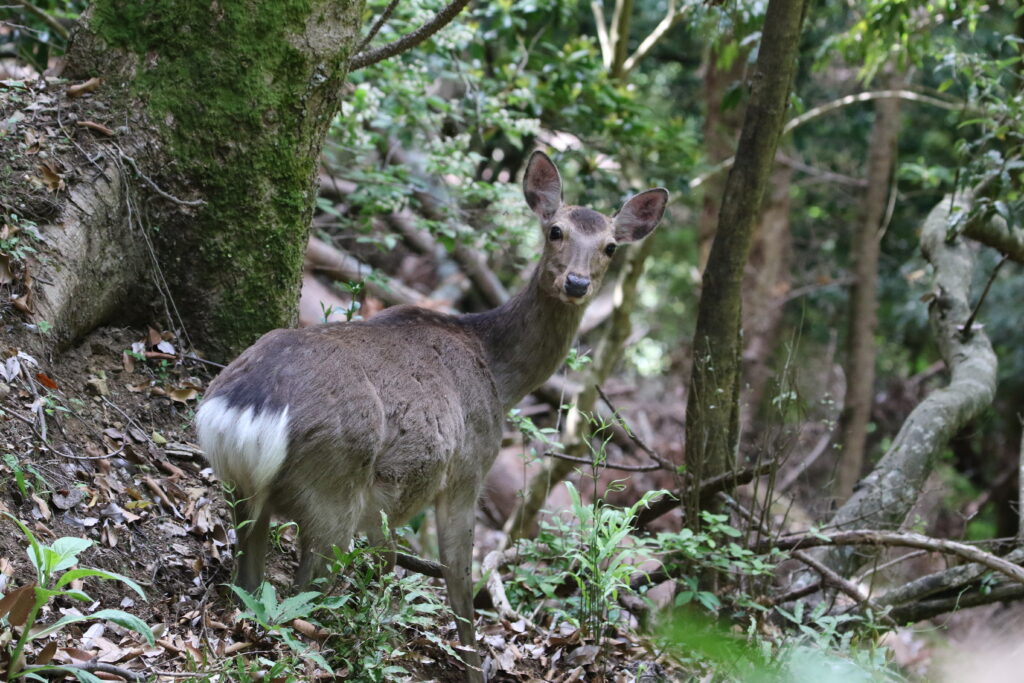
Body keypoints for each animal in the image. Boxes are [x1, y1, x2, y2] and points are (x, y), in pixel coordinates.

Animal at [194, 152, 667, 679]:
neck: (498, 374)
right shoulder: (468, 468)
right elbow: (459, 577)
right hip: (333, 486)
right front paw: (475, 666)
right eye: (555, 231)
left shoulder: (393, 500)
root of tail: (245, 409)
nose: (578, 283)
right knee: (303, 602)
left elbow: (387, 563)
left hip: (242, 490)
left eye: (609, 246)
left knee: (250, 582)